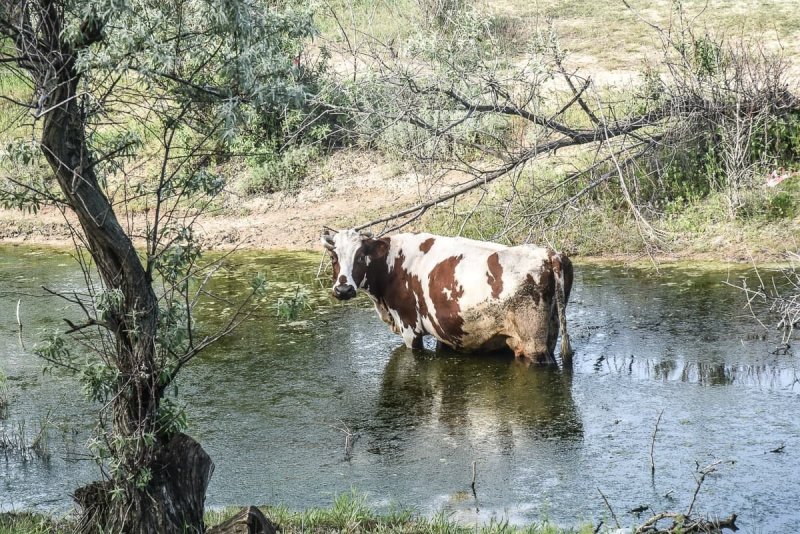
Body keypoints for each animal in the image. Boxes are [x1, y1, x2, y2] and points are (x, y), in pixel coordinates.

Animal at [322, 229, 572, 364]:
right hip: (550, 332)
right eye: (334, 257)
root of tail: (549, 254)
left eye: (360, 256)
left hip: (534, 345)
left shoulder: (409, 329)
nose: (343, 290)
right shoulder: (445, 332)